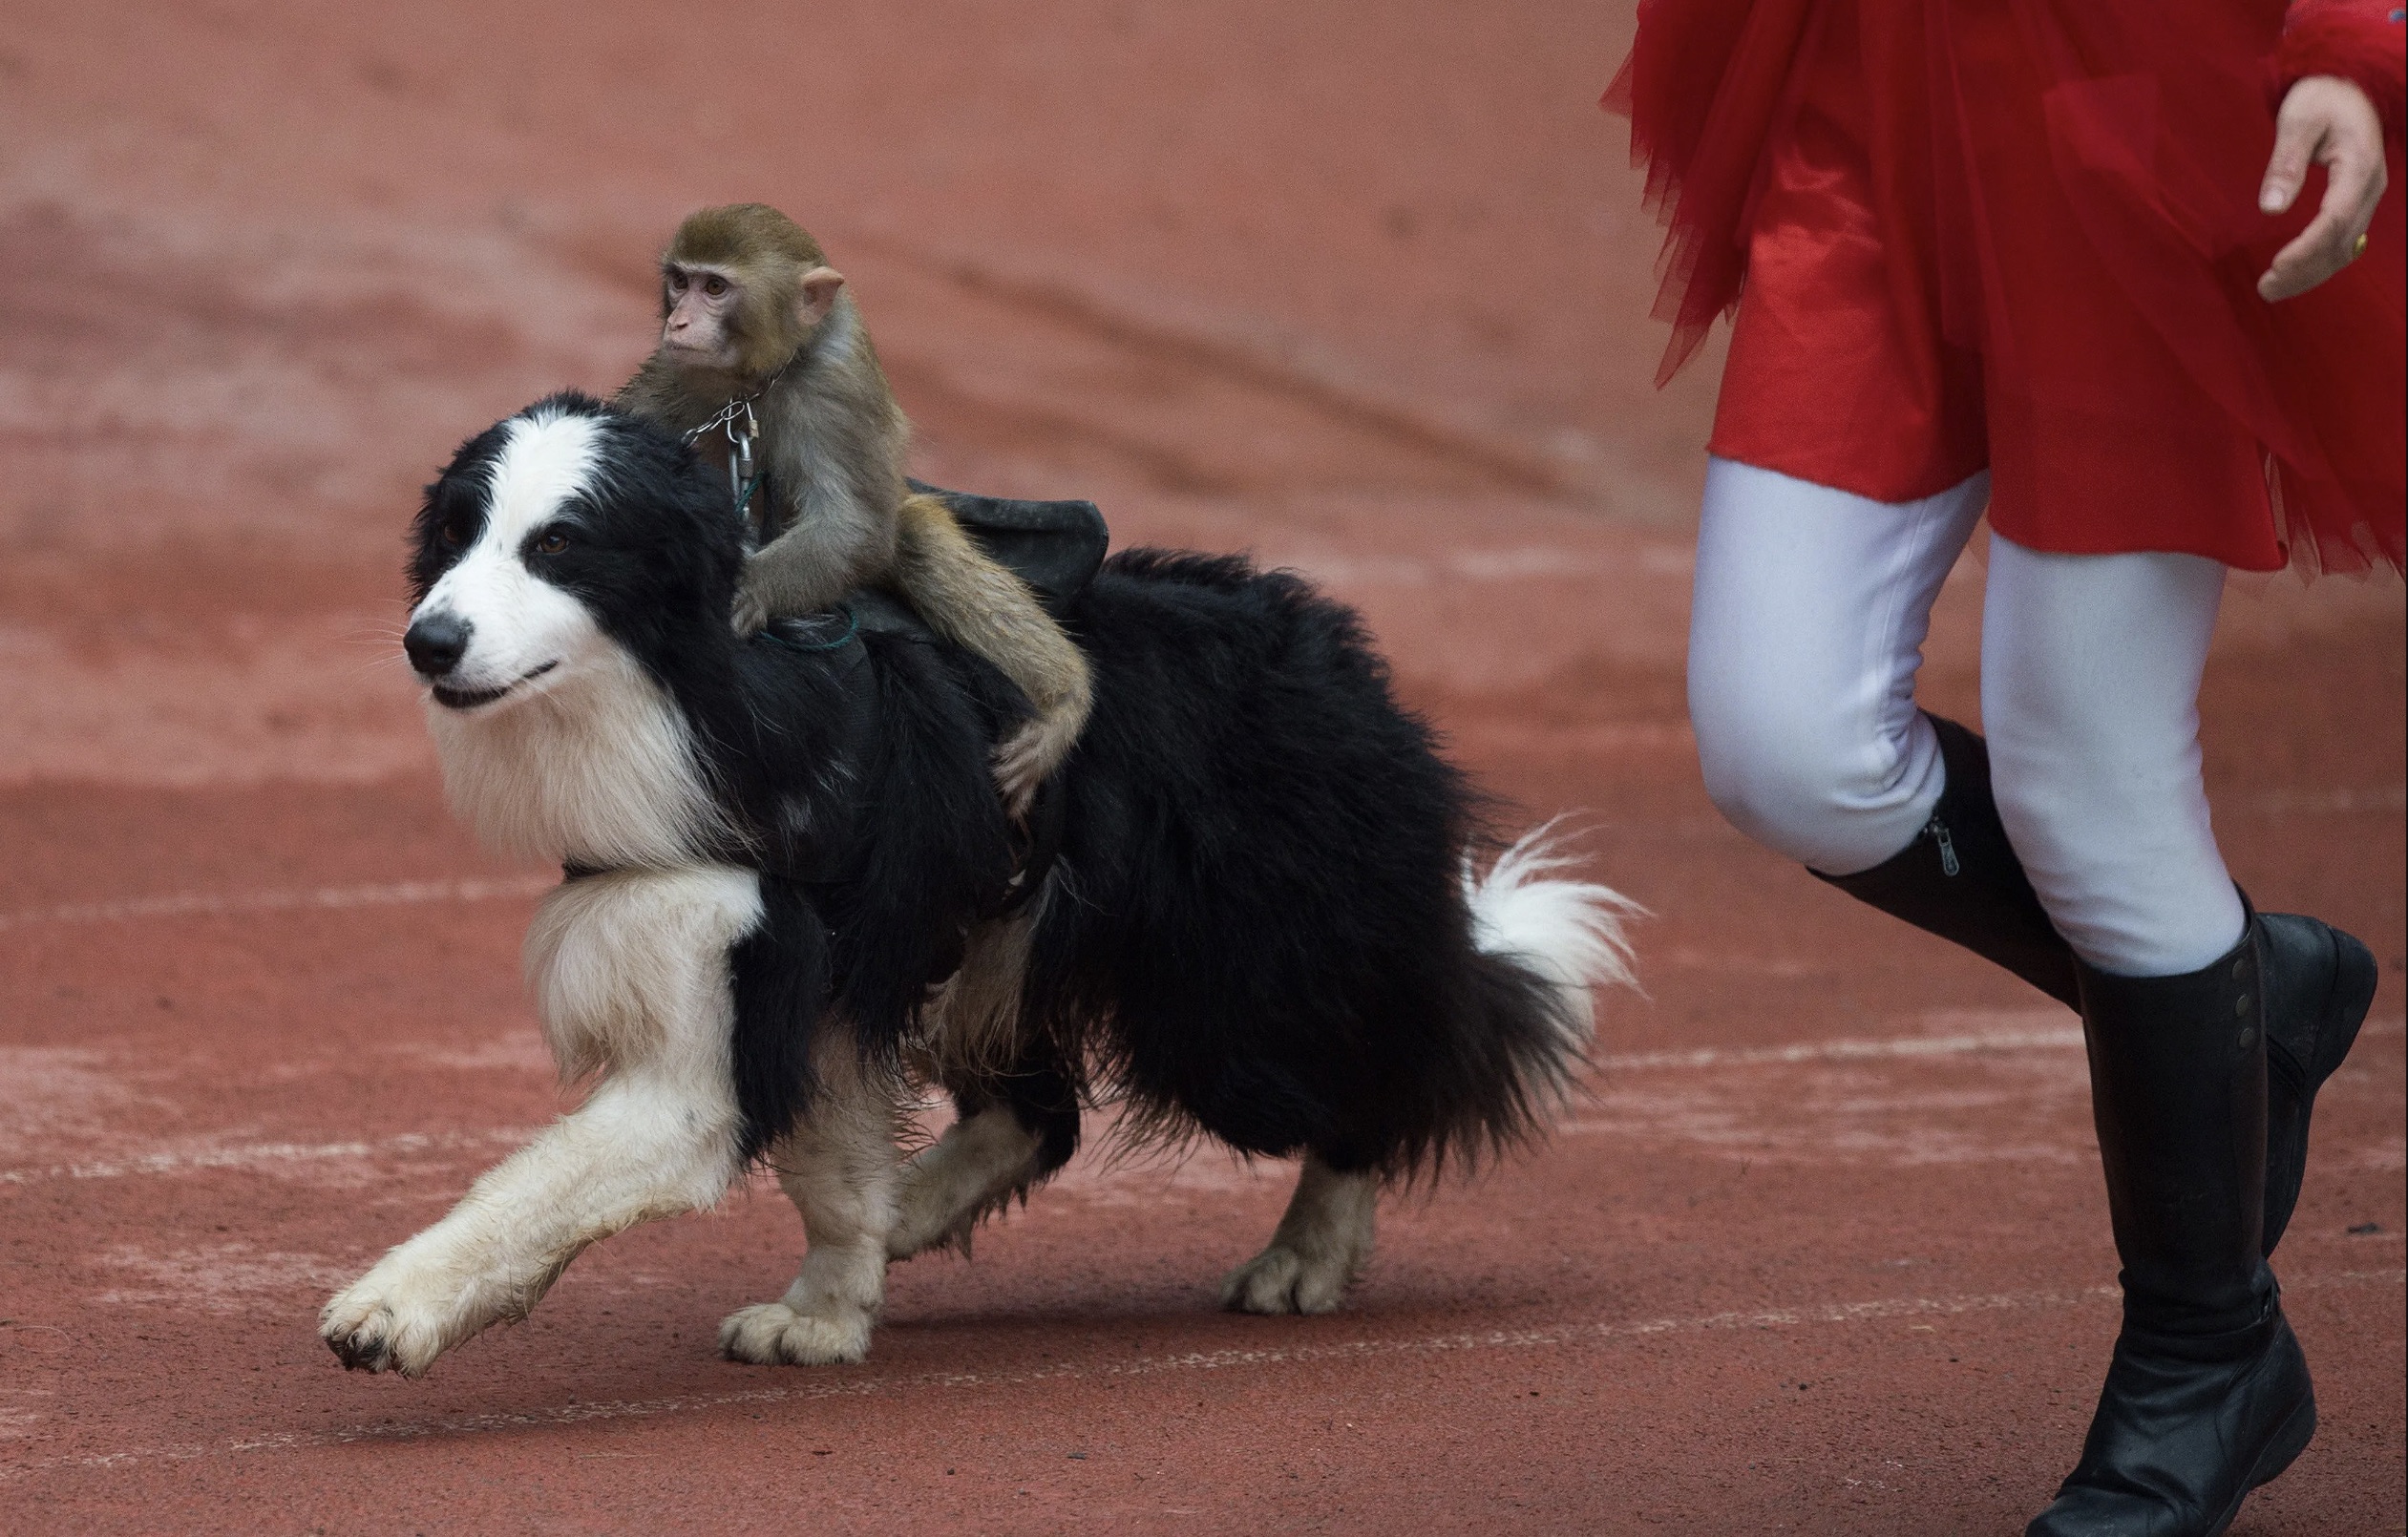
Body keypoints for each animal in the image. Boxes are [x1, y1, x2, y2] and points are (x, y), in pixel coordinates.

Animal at [325, 390, 1637, 1378]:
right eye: (454, 534)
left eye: (559, 544)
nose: (427, 642)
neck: (690, 689)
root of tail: (1345, 659)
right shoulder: (808, 970)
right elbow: (827, 1170)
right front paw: (827, 1309)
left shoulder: (725, 1003)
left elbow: (538, 1183)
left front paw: (389, 1310)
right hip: (1005, 944)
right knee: (1040, 1112)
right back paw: (916, 1208)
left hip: (1226, 1005)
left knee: (1370, 1075)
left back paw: (1302, 1258)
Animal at [611, 204, 1092, 818]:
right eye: (680, 282)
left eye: (715, 288)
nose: (678, 323)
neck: (762, 378)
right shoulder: (673, 375)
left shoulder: (834, 386)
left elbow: (854, 528)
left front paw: (746, 591)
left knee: (913, 538)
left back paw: (1062, 698)